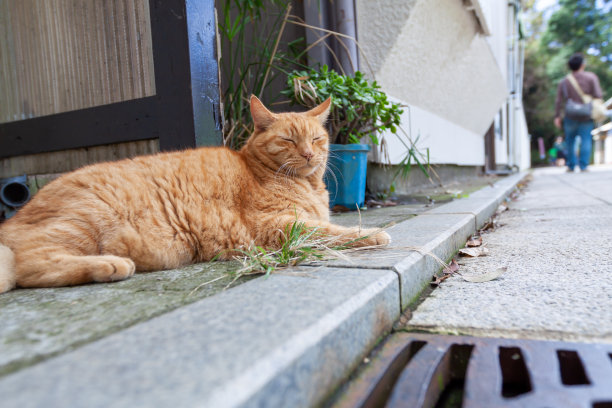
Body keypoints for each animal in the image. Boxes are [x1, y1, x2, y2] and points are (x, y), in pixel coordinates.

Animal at [0, 96, 392, 294]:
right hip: (84, 219)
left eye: (316, 138)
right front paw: (373, 233)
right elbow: (333, 232)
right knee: (29, 268)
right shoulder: (278, 225)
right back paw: (110, 265)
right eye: (287, 140)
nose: (310, 155)